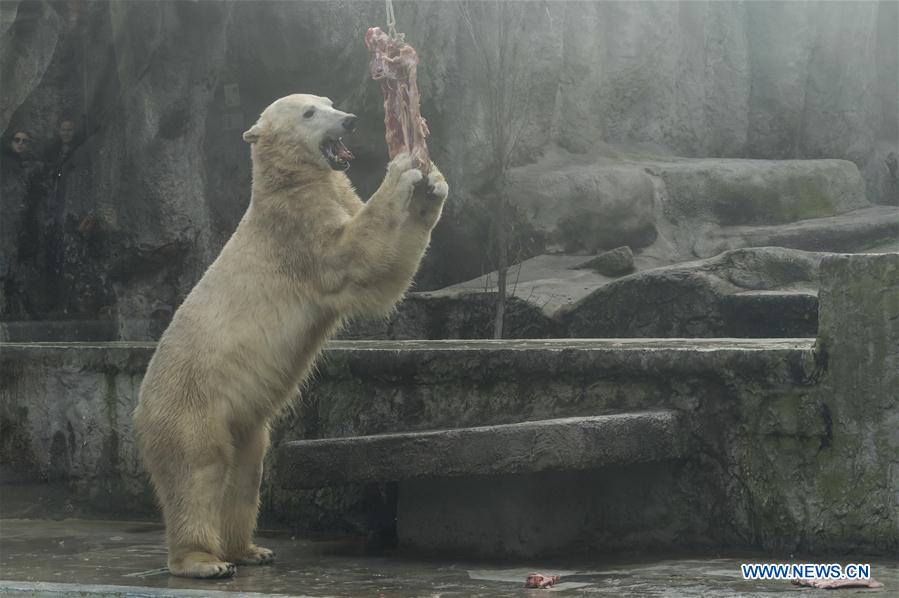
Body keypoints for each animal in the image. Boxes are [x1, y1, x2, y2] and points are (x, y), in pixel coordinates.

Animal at [132, 93, 448, 579]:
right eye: (309, 112)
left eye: (329, 102)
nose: (350, 120)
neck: (287, 183)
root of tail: (139, 410)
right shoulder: (297, 230)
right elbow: (358, 259)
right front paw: (403, 171)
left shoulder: (330, 195)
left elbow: (386, 265)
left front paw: (434, 183)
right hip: (190, 405)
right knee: (198, 470)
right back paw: (204, 561)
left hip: (242, 423)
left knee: (246, 475)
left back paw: (249, 550)